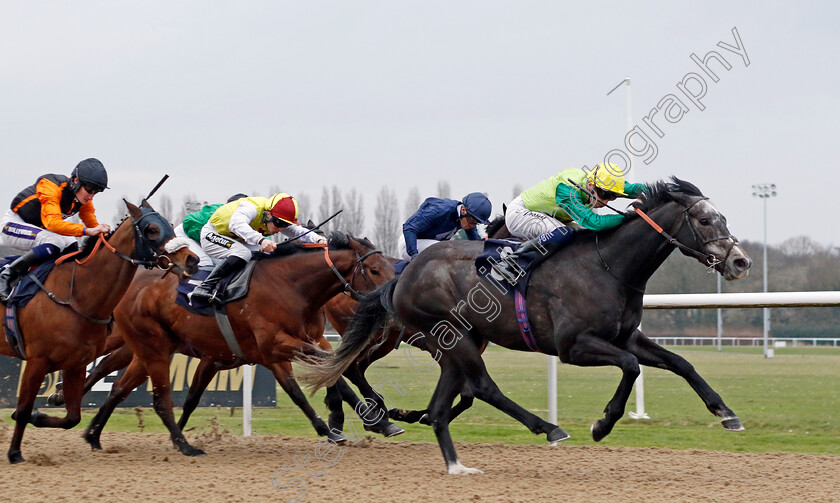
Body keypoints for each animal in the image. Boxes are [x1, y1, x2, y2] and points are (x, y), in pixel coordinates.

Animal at [0, 200, 199, 464]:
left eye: (170, 225)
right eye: (152, 230)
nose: (191, 259)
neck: (74, 294)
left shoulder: (76, 363)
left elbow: (72, 417)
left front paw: (40, 415)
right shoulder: (37, 361)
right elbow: (23, 410)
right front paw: (15, 453)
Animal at [82, 233, 394, 456]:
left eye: (391, 267)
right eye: (374, 270)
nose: (392, 300)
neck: (290, 287)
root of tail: (130, 287)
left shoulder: (280, 348)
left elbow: (320, 373)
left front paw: (356, 420)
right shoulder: (273, 346)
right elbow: (319, 376)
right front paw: (340, 424)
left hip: (146, 351)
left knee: (118, 387)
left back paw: (93, 435)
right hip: (150, 347)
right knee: (139, 388)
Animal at [308, 179, 756, 474]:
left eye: (722, 216)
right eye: (704, 219)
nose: (741, 261)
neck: (608, 265)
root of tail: (403, 275)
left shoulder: (626, 336)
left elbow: (681, 363)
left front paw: (727, 413)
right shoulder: (574, 346)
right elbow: (630, 367)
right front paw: (602, 424)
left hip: (456, 341)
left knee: (446, 403)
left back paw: (443, 452)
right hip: (447, 336)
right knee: (479, 387)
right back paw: (548, 428)